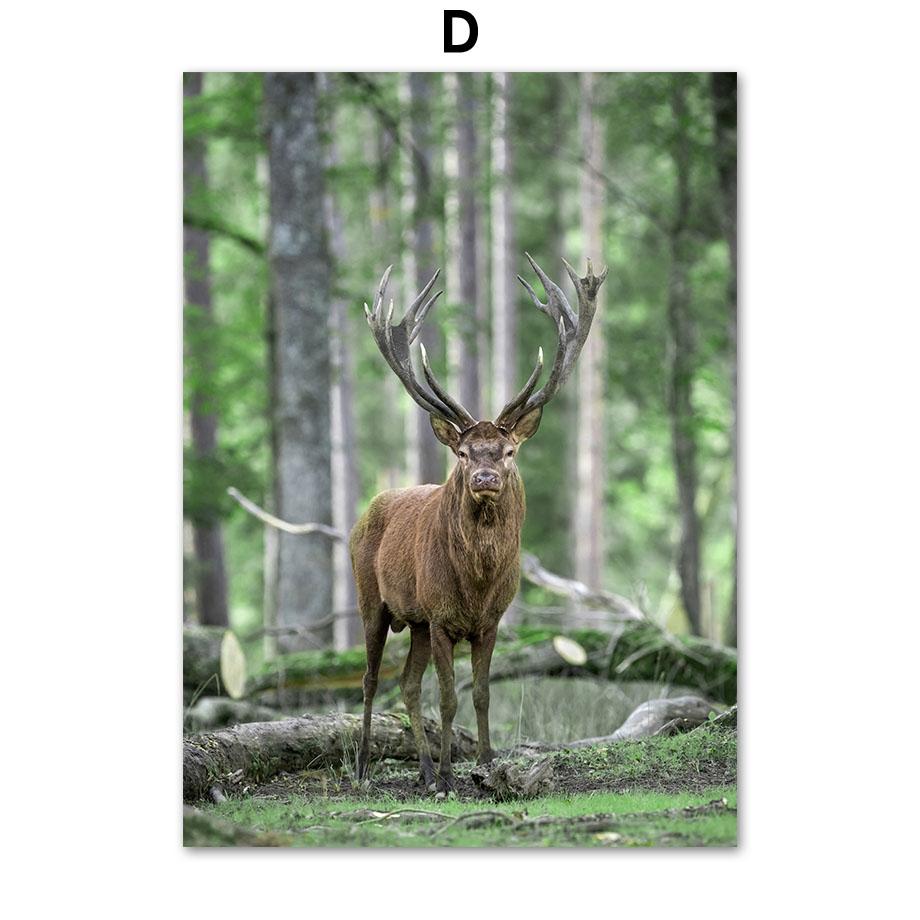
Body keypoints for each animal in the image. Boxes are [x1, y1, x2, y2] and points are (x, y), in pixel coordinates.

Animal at [350, 253, 607, 793]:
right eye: (464, 452)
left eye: (509, 451)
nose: (485, 477)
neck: (477, 583)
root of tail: (365, 514)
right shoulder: (442, 617)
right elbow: (448, 698)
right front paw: (452, 776)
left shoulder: (490, 622)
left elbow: (481, 694)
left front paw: (486, 764)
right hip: (372, 600)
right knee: (371, 678)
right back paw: (365, 767)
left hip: (415, 621)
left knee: (407, 684)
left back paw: (423, 771)